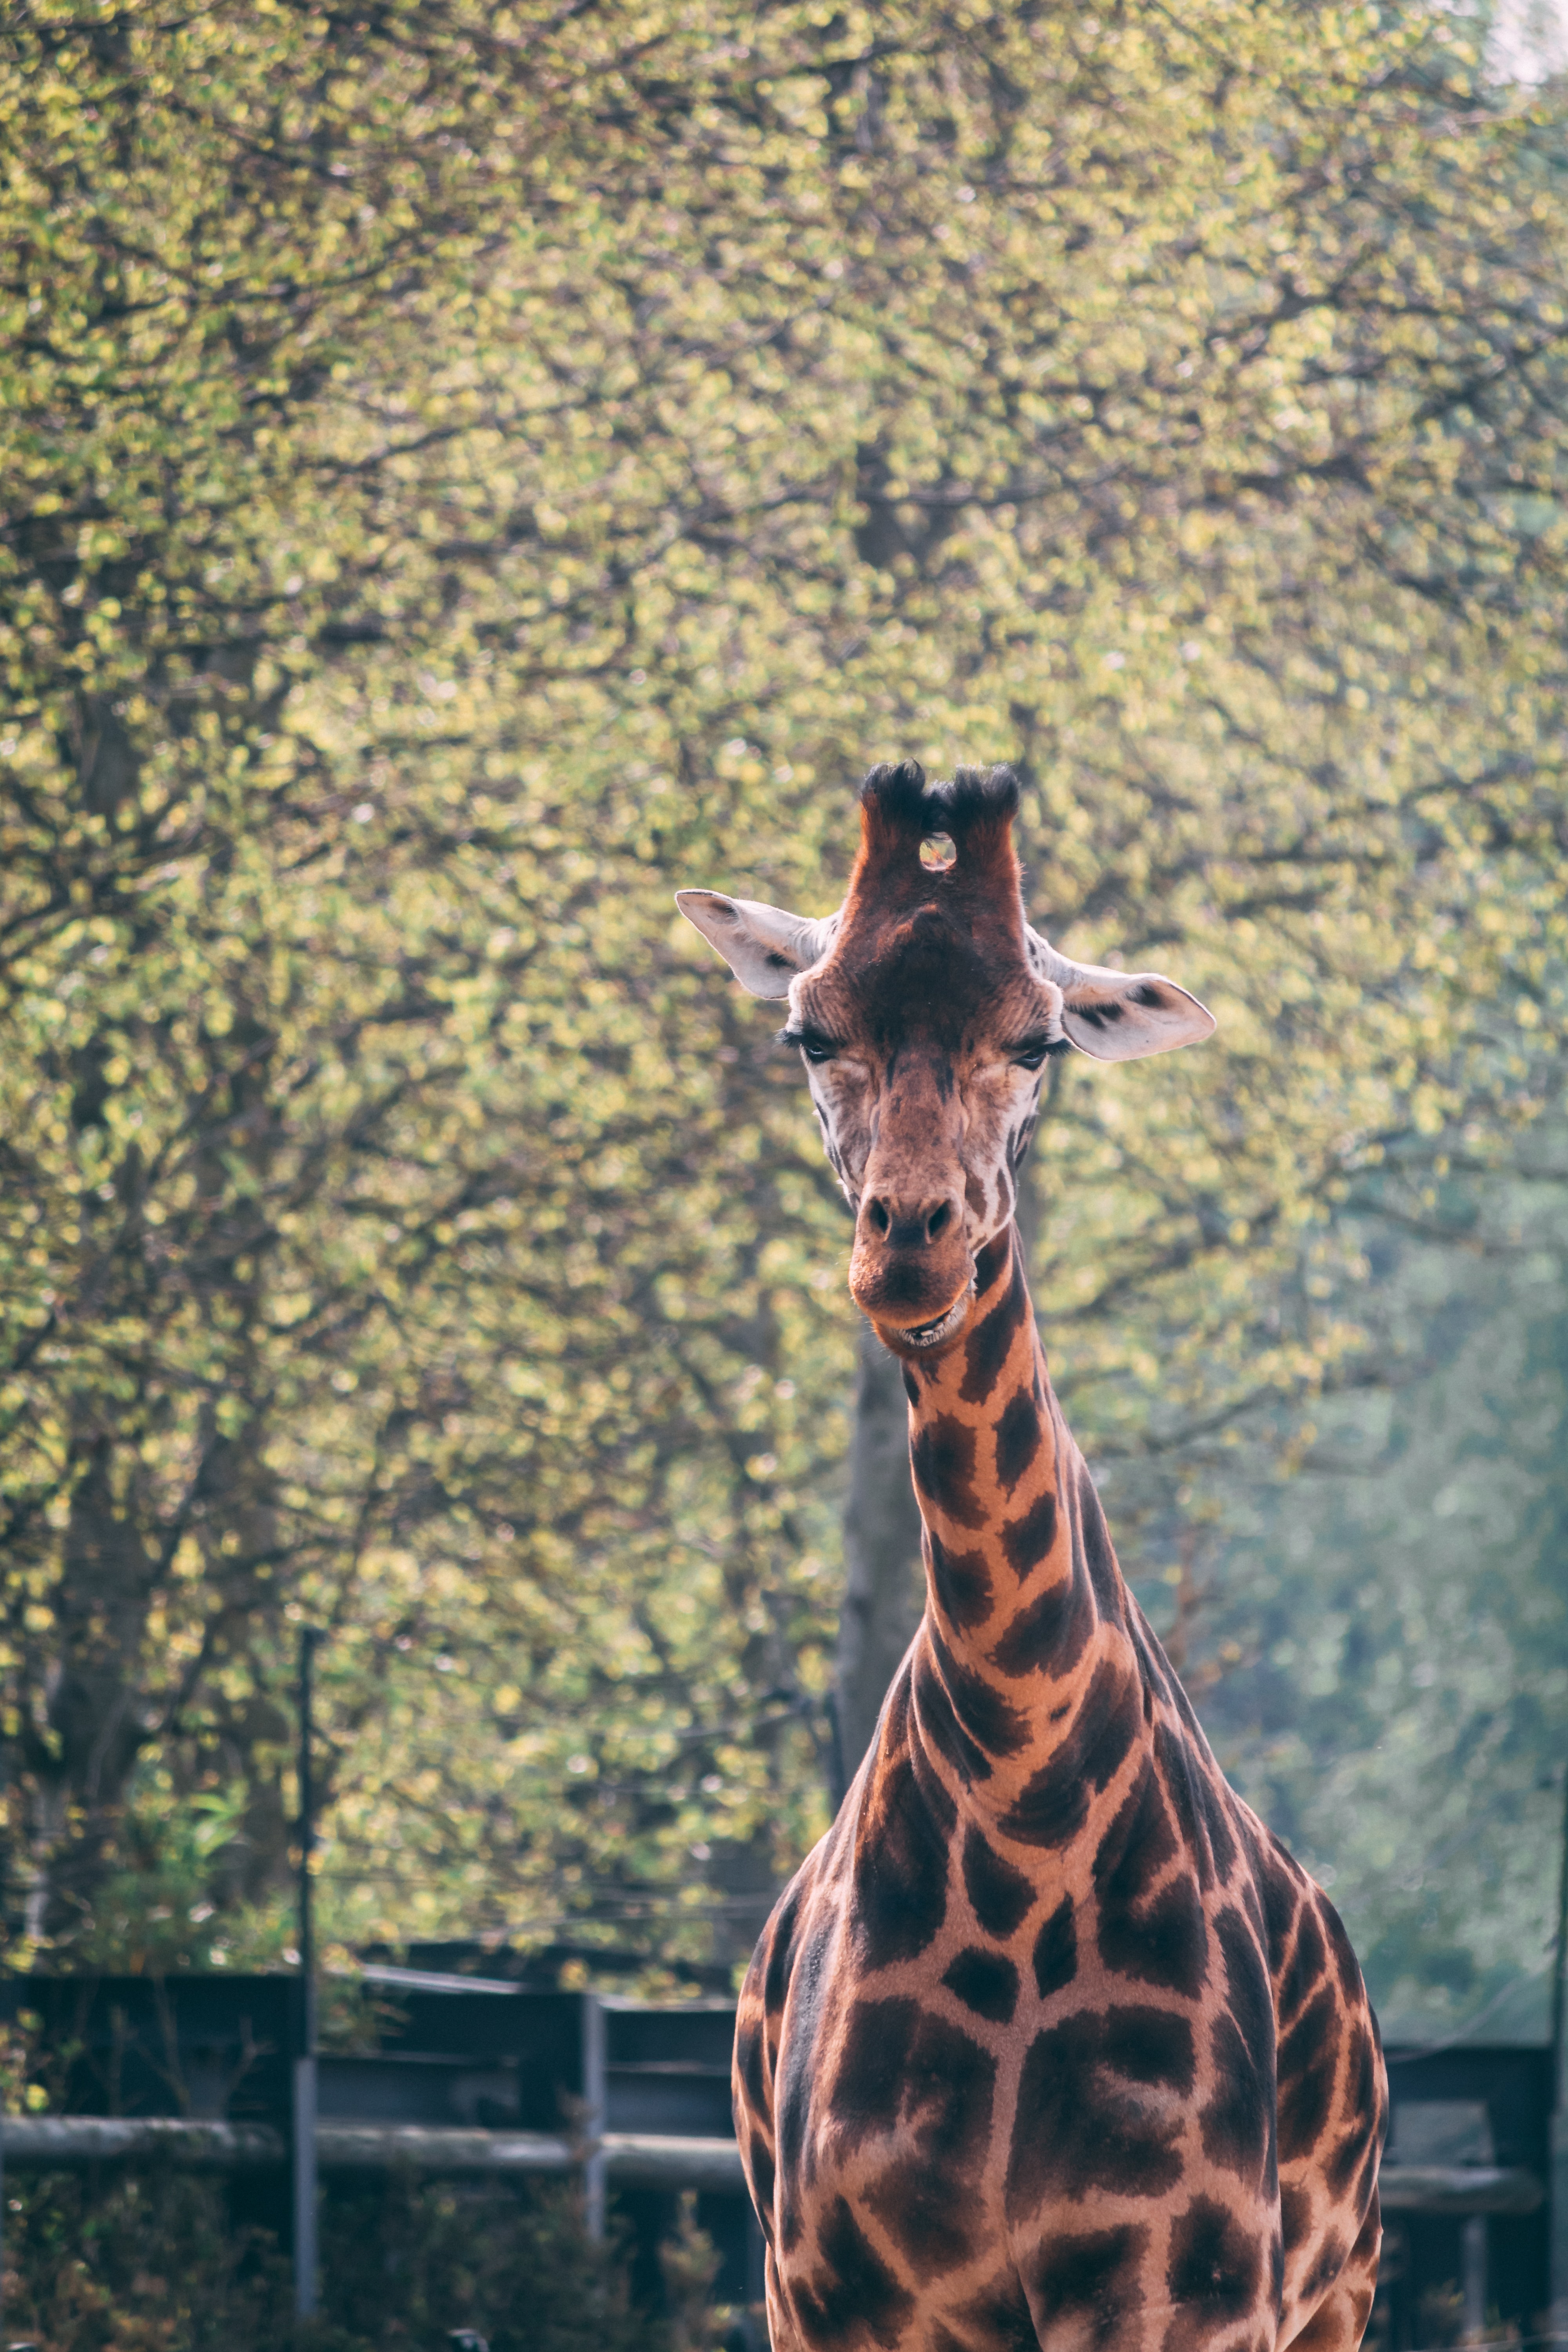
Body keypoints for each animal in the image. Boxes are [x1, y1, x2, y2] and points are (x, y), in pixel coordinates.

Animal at [677, 762, 1386, 2352]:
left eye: (1039, 1038)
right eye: (810, 1030)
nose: (911, 1245)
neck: (1020, 1794)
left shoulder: (1183, 2290)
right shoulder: (825, 2287)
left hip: (1338, 2289)